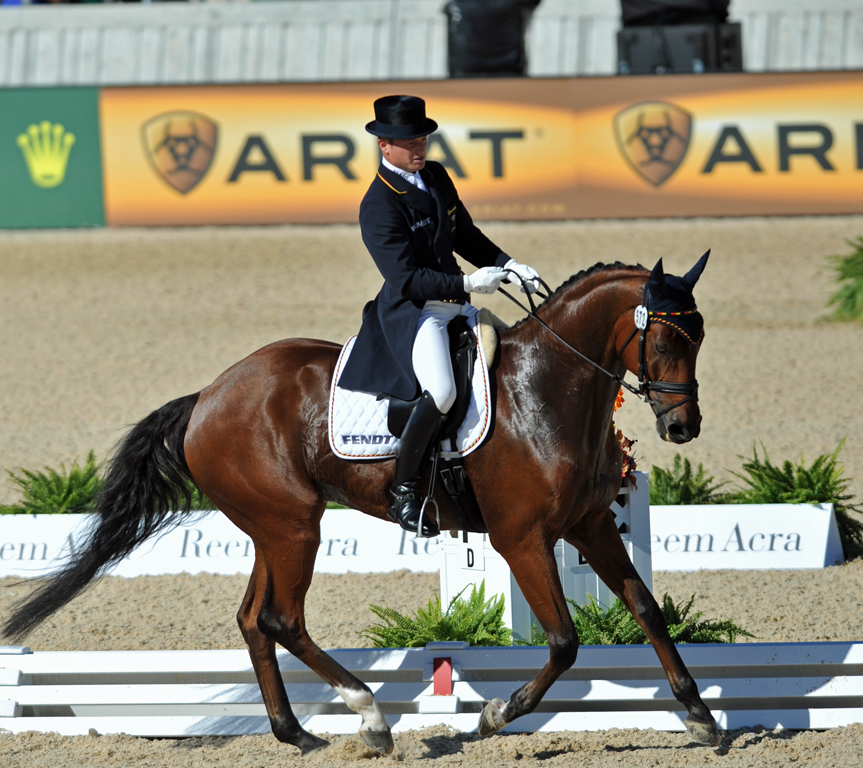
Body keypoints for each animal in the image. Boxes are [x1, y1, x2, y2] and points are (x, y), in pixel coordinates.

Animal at [3, 256, 724, 752]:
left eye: (700, 337)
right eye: (666, 341)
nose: (683, 427)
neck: (547, 390)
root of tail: (208, 395)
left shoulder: (590, 523)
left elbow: (645, 608)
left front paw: (700, 716)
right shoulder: (522, 539)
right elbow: (565, 641)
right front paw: (494, 715)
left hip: (276, 527)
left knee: (254, 619)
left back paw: (296, 733)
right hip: (294, 526)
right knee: (281, 619)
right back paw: (371, 718)